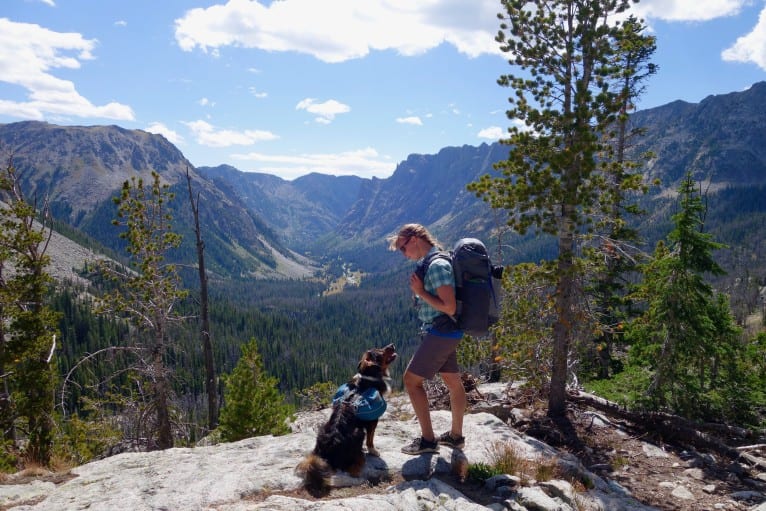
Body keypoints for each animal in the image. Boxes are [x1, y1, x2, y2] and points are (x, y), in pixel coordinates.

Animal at [296, 344, 400, 496]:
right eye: (380, 351)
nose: (392, 345)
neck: (368, 379)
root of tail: (326, 453)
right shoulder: (373, 421)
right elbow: (371, 439)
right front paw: (373, 451)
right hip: (358, 432)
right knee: (352, 466)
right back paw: (361, 460)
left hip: (322, 428)